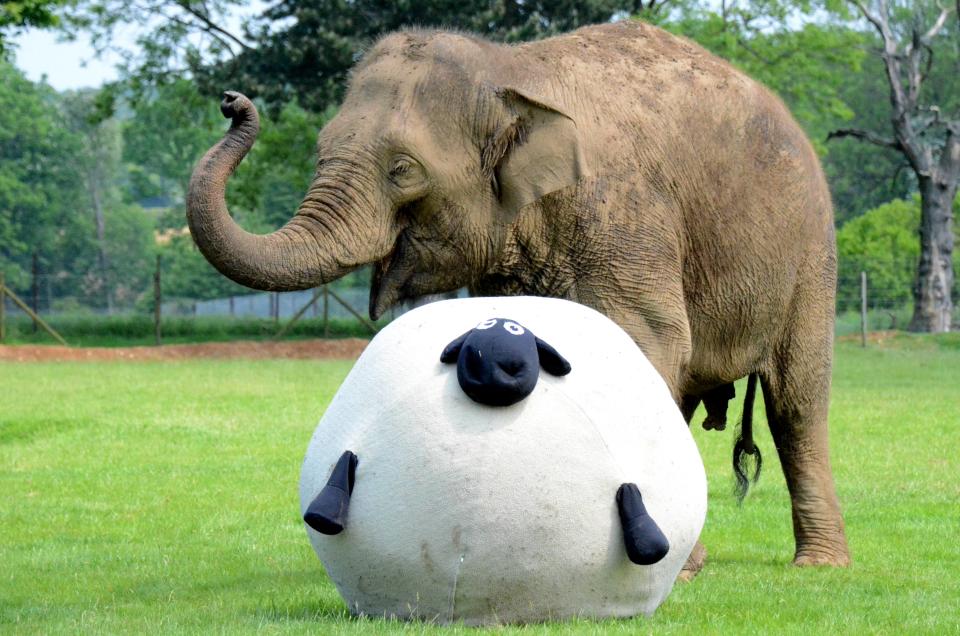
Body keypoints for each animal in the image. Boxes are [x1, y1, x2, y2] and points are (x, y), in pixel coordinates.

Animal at [186, 18, 848, 572]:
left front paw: (672, 567)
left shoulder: (625, 217)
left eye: (403, 169)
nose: (231, 101)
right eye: (322, 150)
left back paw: (817, 566)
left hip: (811, 256)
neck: (513, 70)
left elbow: (650, 339)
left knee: (795, 401)